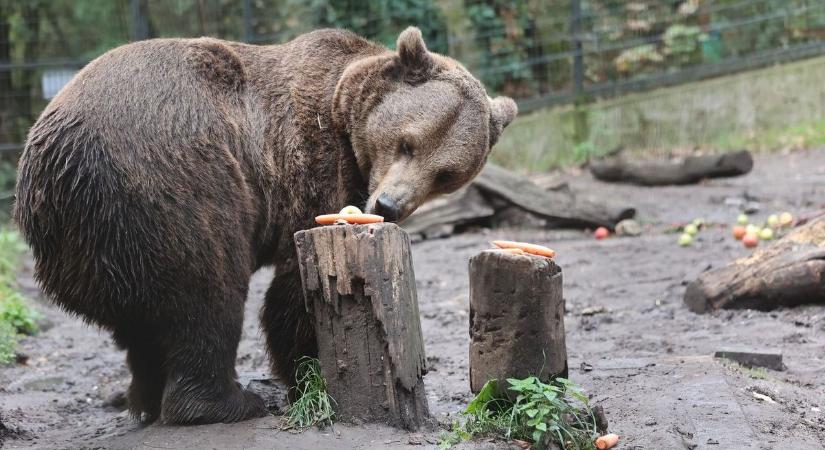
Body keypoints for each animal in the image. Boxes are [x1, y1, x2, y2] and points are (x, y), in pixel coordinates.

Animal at [12, 27, 516, 426]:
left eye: (446, 173)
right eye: (407, 142)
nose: (389, 205)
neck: (343, 110)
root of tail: (54, 162)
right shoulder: (310, 164)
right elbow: (293, 291)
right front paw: (310, 375)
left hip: (93, 243)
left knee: (143, 322)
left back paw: (147, 399)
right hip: (175, 179)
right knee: (207, 292)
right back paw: (224, 402)